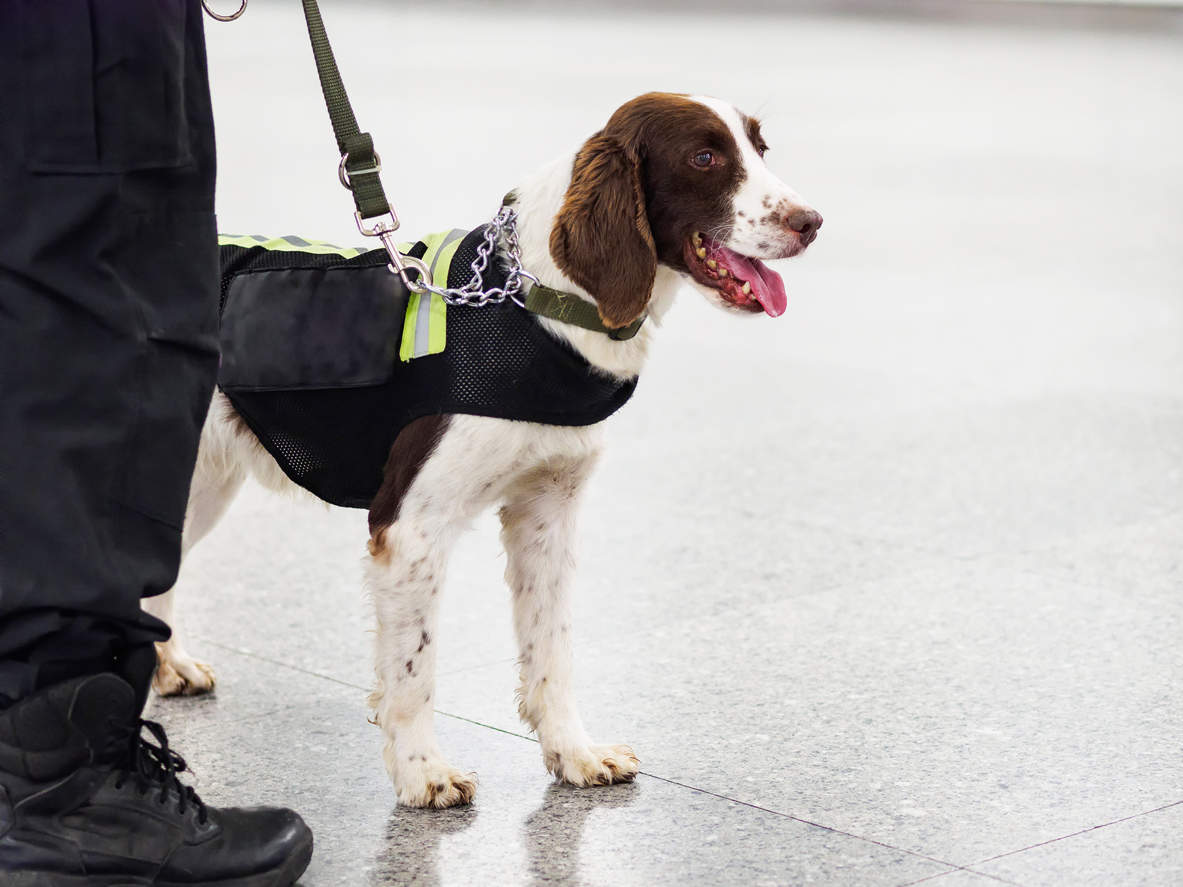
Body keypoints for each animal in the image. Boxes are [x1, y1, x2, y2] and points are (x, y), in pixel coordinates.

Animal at [147, 94, 823, 808]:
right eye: (704, 157)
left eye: (760, 149)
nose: (812, 222)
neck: (534, 305)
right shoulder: (410, 530)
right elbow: (412, 673)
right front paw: (423, 772)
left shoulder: (547, 513)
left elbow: (552, 650)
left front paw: (573, 754)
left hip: (200, 486)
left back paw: (168, 666)